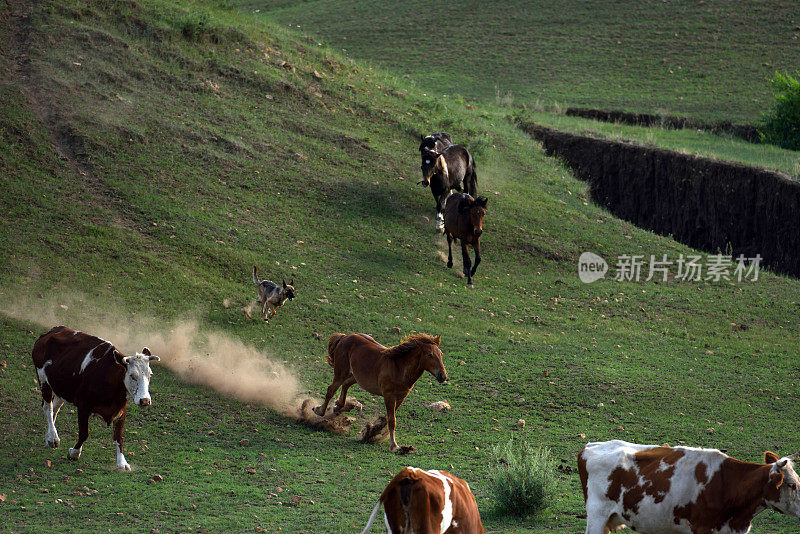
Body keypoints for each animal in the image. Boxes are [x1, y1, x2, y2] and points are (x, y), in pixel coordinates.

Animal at [32, 326, 160, 474]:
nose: (145, 400)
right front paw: (74, 453)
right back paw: (53, 437)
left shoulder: (121, 410)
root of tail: (52, 331)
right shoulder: (83, 406)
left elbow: (119, 437)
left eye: (150, 374)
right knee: (48, 407)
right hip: (43, 380)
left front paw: (122, 462)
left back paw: (49, 437)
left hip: (61, 388)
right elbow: (84, 433)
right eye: (132, 375)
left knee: (55, 407)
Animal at [314, 336, 450, 452]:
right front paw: (394, 446)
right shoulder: (389, 396)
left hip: (356, 376)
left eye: (441, 354)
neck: (399, 369)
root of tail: (344, 337)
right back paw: (319, 410)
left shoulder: (400, 398)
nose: (443, 376)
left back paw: (338, 406)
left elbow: (387, 419)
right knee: (331, 390)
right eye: (430, 355)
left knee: (345, 385)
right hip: (340, 372)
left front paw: (372, 432)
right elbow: (391, 420)